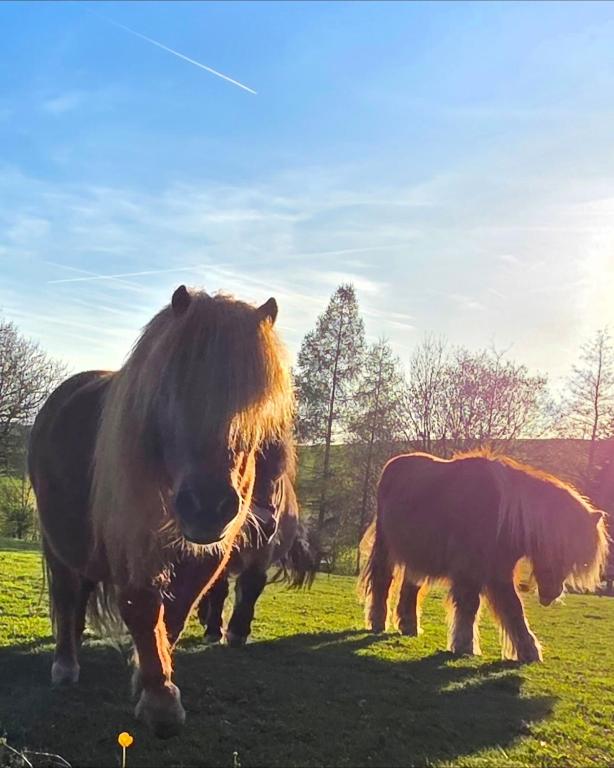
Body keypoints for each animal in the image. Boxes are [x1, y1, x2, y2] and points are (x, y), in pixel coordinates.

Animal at [28, 286, 294, 737]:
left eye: (255, 409)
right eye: (170, 392)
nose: (208, 506)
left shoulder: (206, 558)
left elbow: (175, 615)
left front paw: (148, 677)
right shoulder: (131, 544)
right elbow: (142, 608)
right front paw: (160, 701)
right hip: (56, 543)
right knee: (66, 596)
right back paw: (65, 664)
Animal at [360, 450, 609, 663]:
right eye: (557, 548)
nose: (551, 594)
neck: (499, 514)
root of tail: (394, 464)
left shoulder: (499, 573)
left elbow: (514, 609)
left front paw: (528, 652)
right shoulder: (470, 571)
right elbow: (470, 605)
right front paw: (464, 646)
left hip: (419, 554)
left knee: (411, 587)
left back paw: (409, 627)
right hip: (385, 547)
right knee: (382, 581)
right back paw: (378, 622)